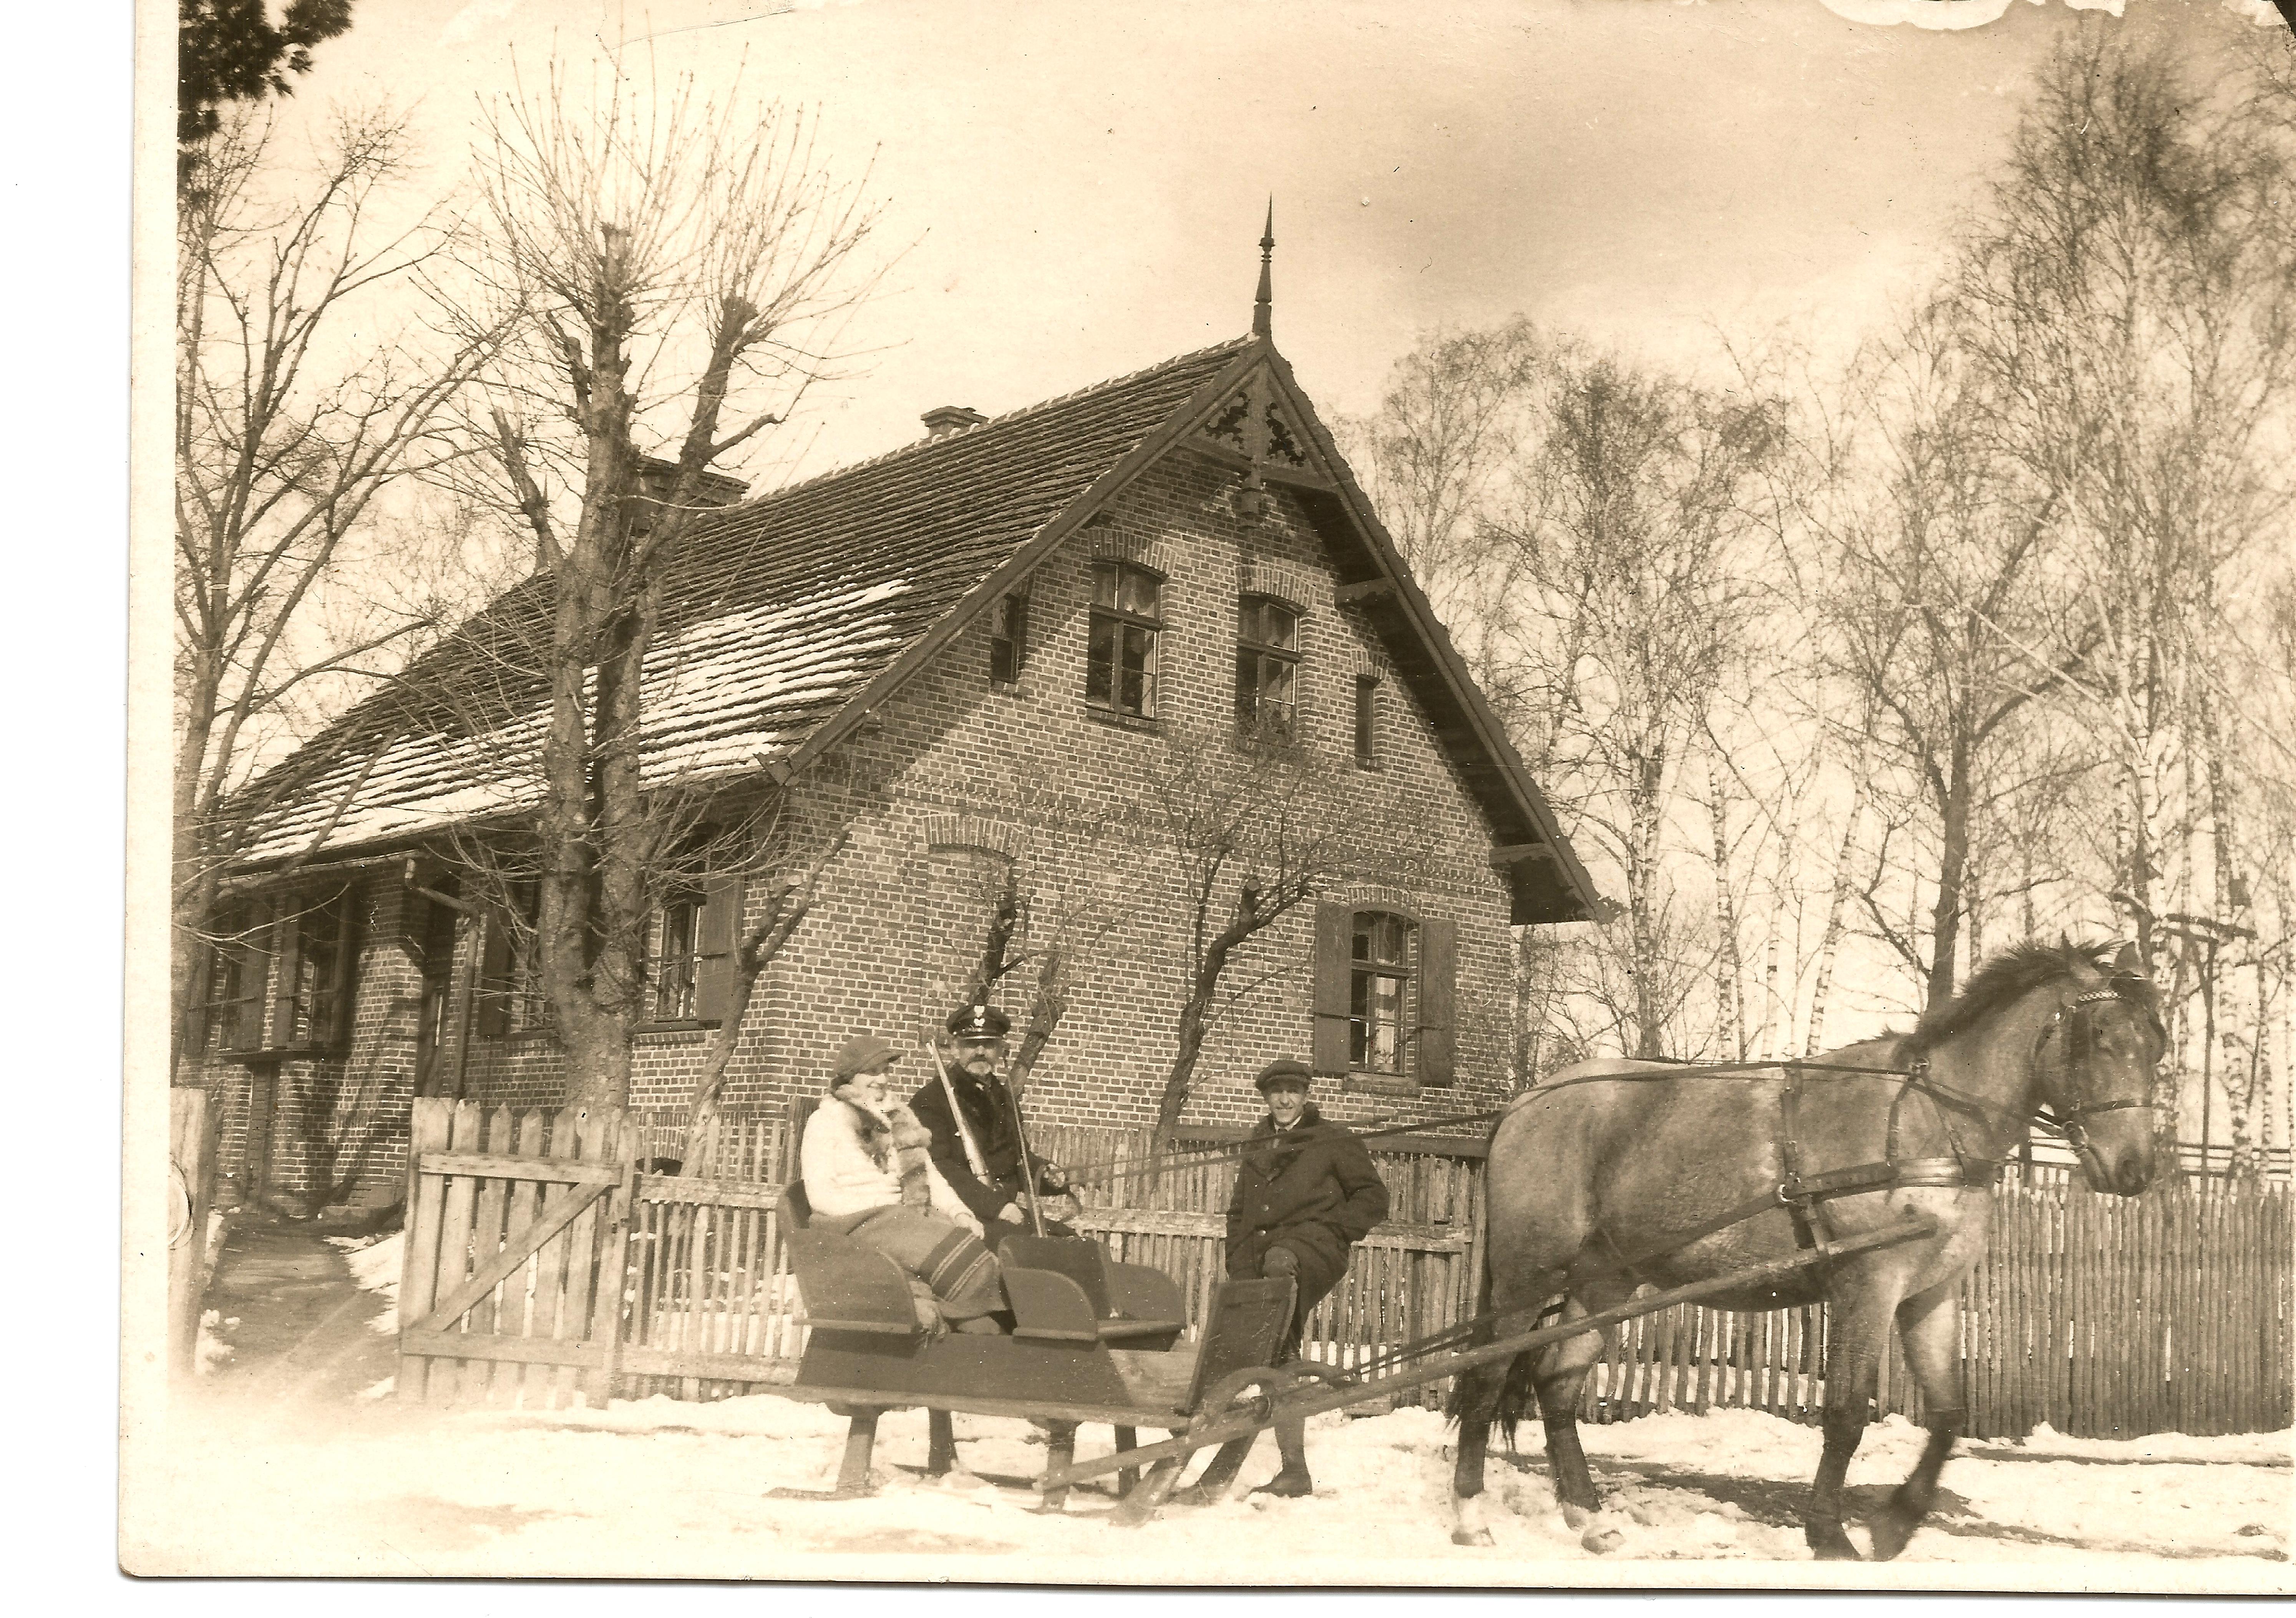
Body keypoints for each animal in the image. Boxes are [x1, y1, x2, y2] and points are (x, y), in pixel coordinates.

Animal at [1451, 941, 2167, 1560]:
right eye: (2100, 1037)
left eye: (2156, 1047)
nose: (2134, 1169)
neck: (1929, 1124)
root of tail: (1524, 1102)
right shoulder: (1867, 1285)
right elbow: (1846, 1414)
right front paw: (1831, 1535)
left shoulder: (1931, 1294)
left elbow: (1947, 1414)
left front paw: (1894, 1526)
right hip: (1524, 1277)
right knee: (1486, 1379)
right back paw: (1470, 1518)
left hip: (1605, 1280)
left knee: (1557, 1383)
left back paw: (1591, 1521)